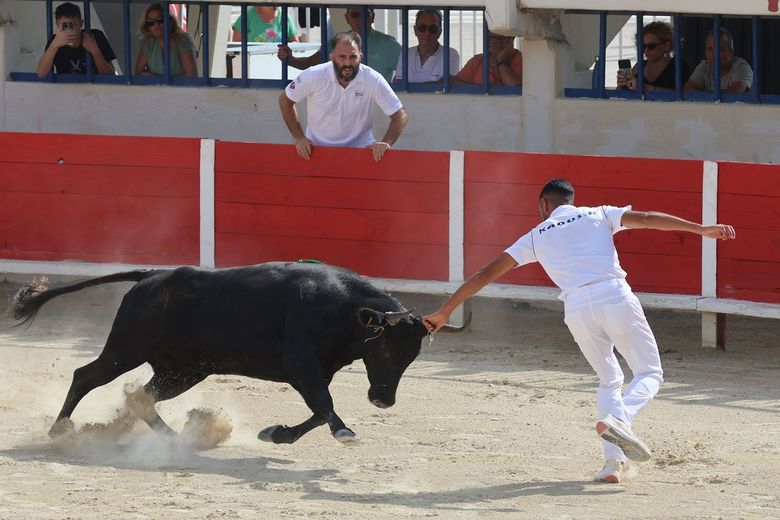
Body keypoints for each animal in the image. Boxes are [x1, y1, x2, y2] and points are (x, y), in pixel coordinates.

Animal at [10, 262, 470, 444]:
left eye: (412, 357)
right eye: (387, 347)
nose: (383, 400)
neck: (342, 310)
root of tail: (152, 276)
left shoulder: (315, 370)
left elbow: (317, 411)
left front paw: (277, 434)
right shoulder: (301, 365)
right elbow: (325, 406)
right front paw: (345, 433)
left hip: (183, 370)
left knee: (141, 396)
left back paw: (177, 438)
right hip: (126, 348)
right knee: (86, 376)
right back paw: (59, 430)